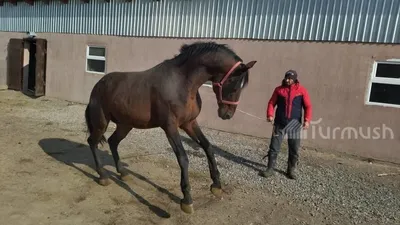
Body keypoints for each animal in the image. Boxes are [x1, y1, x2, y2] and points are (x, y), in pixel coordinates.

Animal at [85, 41, 258, 214]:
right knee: (92, 142)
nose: (227, 114)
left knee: (113, 142)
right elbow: (183, 158)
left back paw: (123, 173)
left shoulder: (189, 123)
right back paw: (103, 176)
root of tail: (98, 85)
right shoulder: (170, 127)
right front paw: (187, 199)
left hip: (125, 125)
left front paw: (216, 185)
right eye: (234, 85)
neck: (182, 83)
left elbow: (208, 146)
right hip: (102, 122)